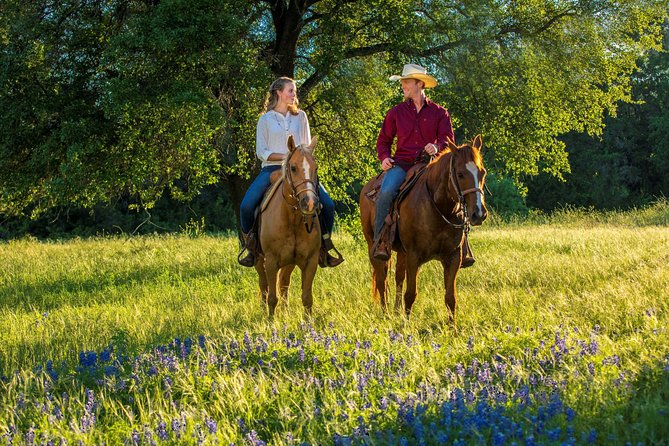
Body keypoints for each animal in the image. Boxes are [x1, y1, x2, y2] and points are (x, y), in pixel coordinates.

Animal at [254, 135, 320, 318]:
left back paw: (285, 311)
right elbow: (272, 297)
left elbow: (307, 298)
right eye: (293, 167)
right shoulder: (270, 261)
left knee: (283, 282)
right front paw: (270, 321)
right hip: (258, 259)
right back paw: (263, 310)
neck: (292, 219)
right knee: (263, 284)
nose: (309, 203)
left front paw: (308, 323)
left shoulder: (310, 261)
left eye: (316, 168)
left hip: (289, 262)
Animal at [360, 136, 486, 324]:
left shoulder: (453, 257)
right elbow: (411, 294)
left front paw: (453, 328)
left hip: (401, 252)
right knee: (382, 280)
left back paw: (395, 312)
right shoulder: (414, 256)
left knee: (398, 277)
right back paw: (385, 314)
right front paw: (406, 326)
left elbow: (450, 297)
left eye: (482, 173)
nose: (479, 213)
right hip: (373, 247)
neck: (439, 207)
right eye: (460, 174)